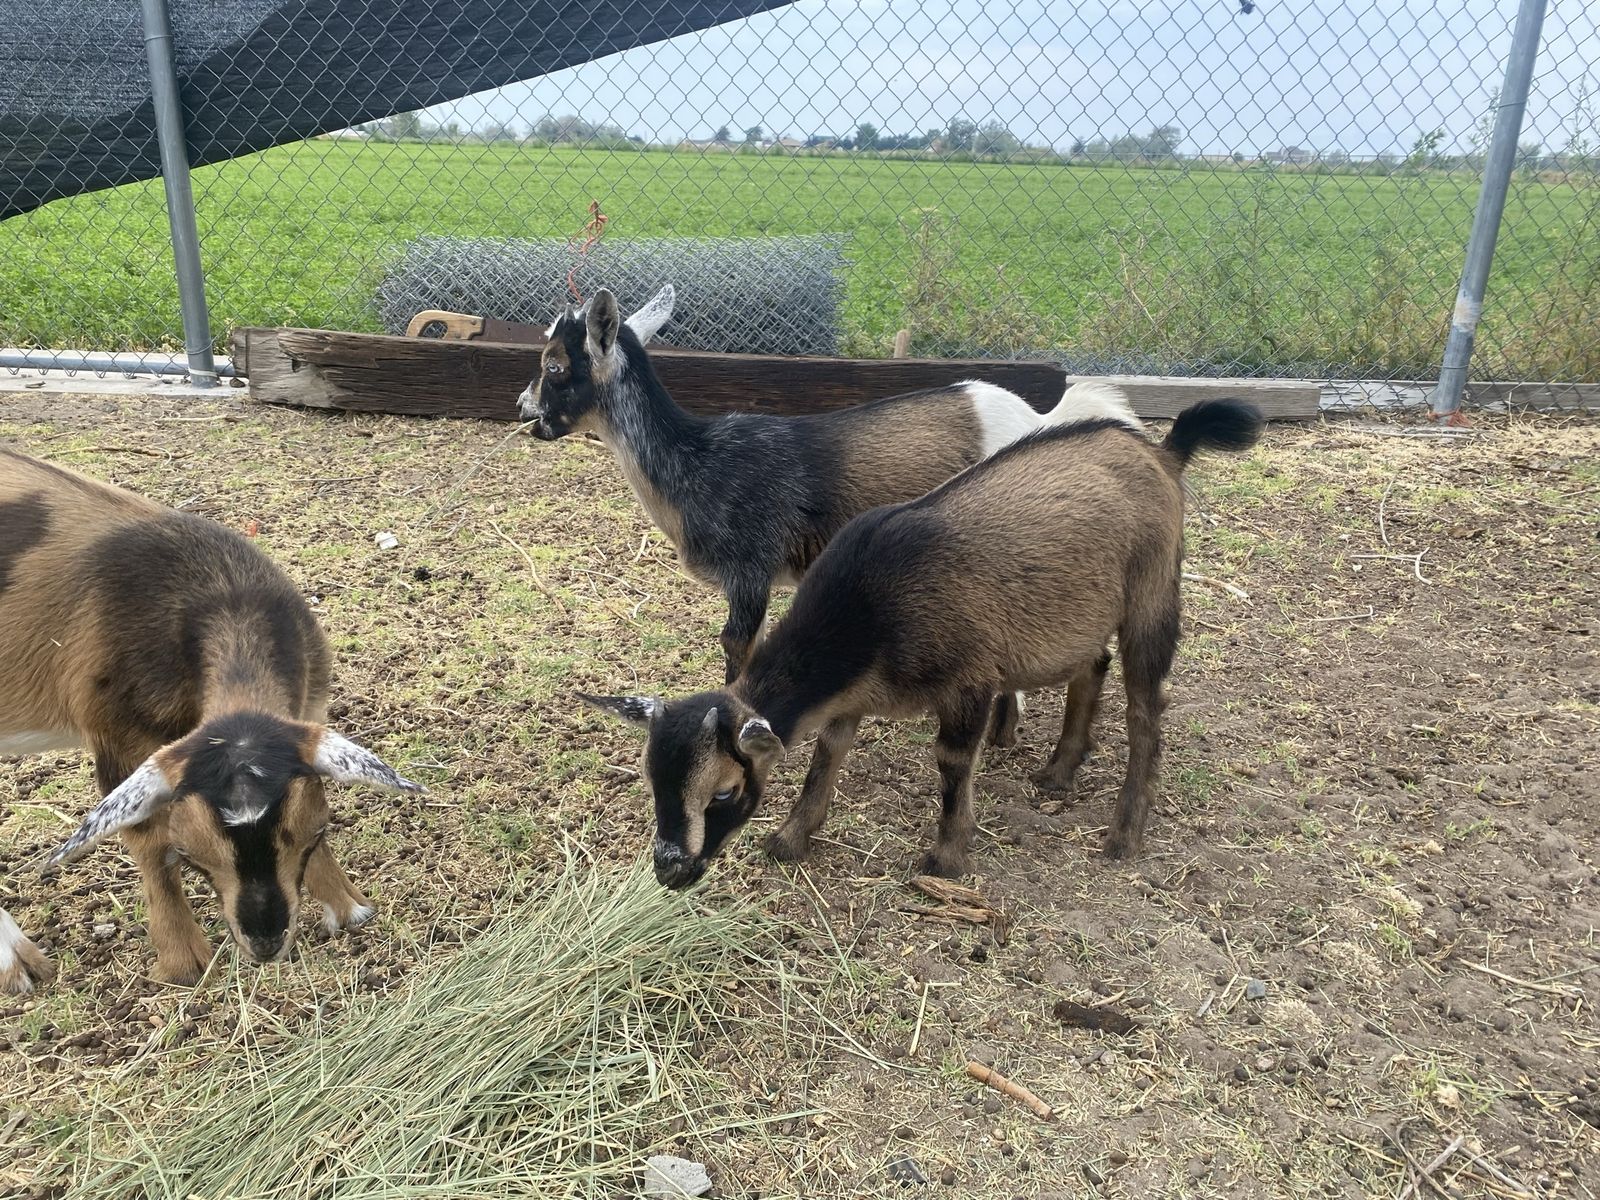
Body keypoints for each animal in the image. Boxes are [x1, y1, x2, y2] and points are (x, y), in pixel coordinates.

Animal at [0, 448, 422, 989]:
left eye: (315, 830)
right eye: (191, 852)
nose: (264, 944)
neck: (223, 594)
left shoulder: (308, 706)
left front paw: (349, 908)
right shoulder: (116, 733)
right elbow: (148, 838)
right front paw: (184, 961)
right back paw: (16, 962)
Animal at [516, 286, 1137, 750]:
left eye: (555, 365)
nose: (525, 411)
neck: (699, 462)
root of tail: (1039, 418)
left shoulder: (751, 569)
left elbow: (736, 648)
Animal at [580, 397, 1263, 888]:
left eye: (723, 790)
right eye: (652, 781)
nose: (671, 872)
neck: (870, 611)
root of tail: (1162, 454)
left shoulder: (970, 682)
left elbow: (953, 762)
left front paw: (946, 858)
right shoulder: (852, 697)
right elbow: (827, 754)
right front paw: (791, 839)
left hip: (1153, 594)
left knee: (1147, 707)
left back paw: (1123, 835)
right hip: (1080, 614)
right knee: (1091, 666)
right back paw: (1059, 771)